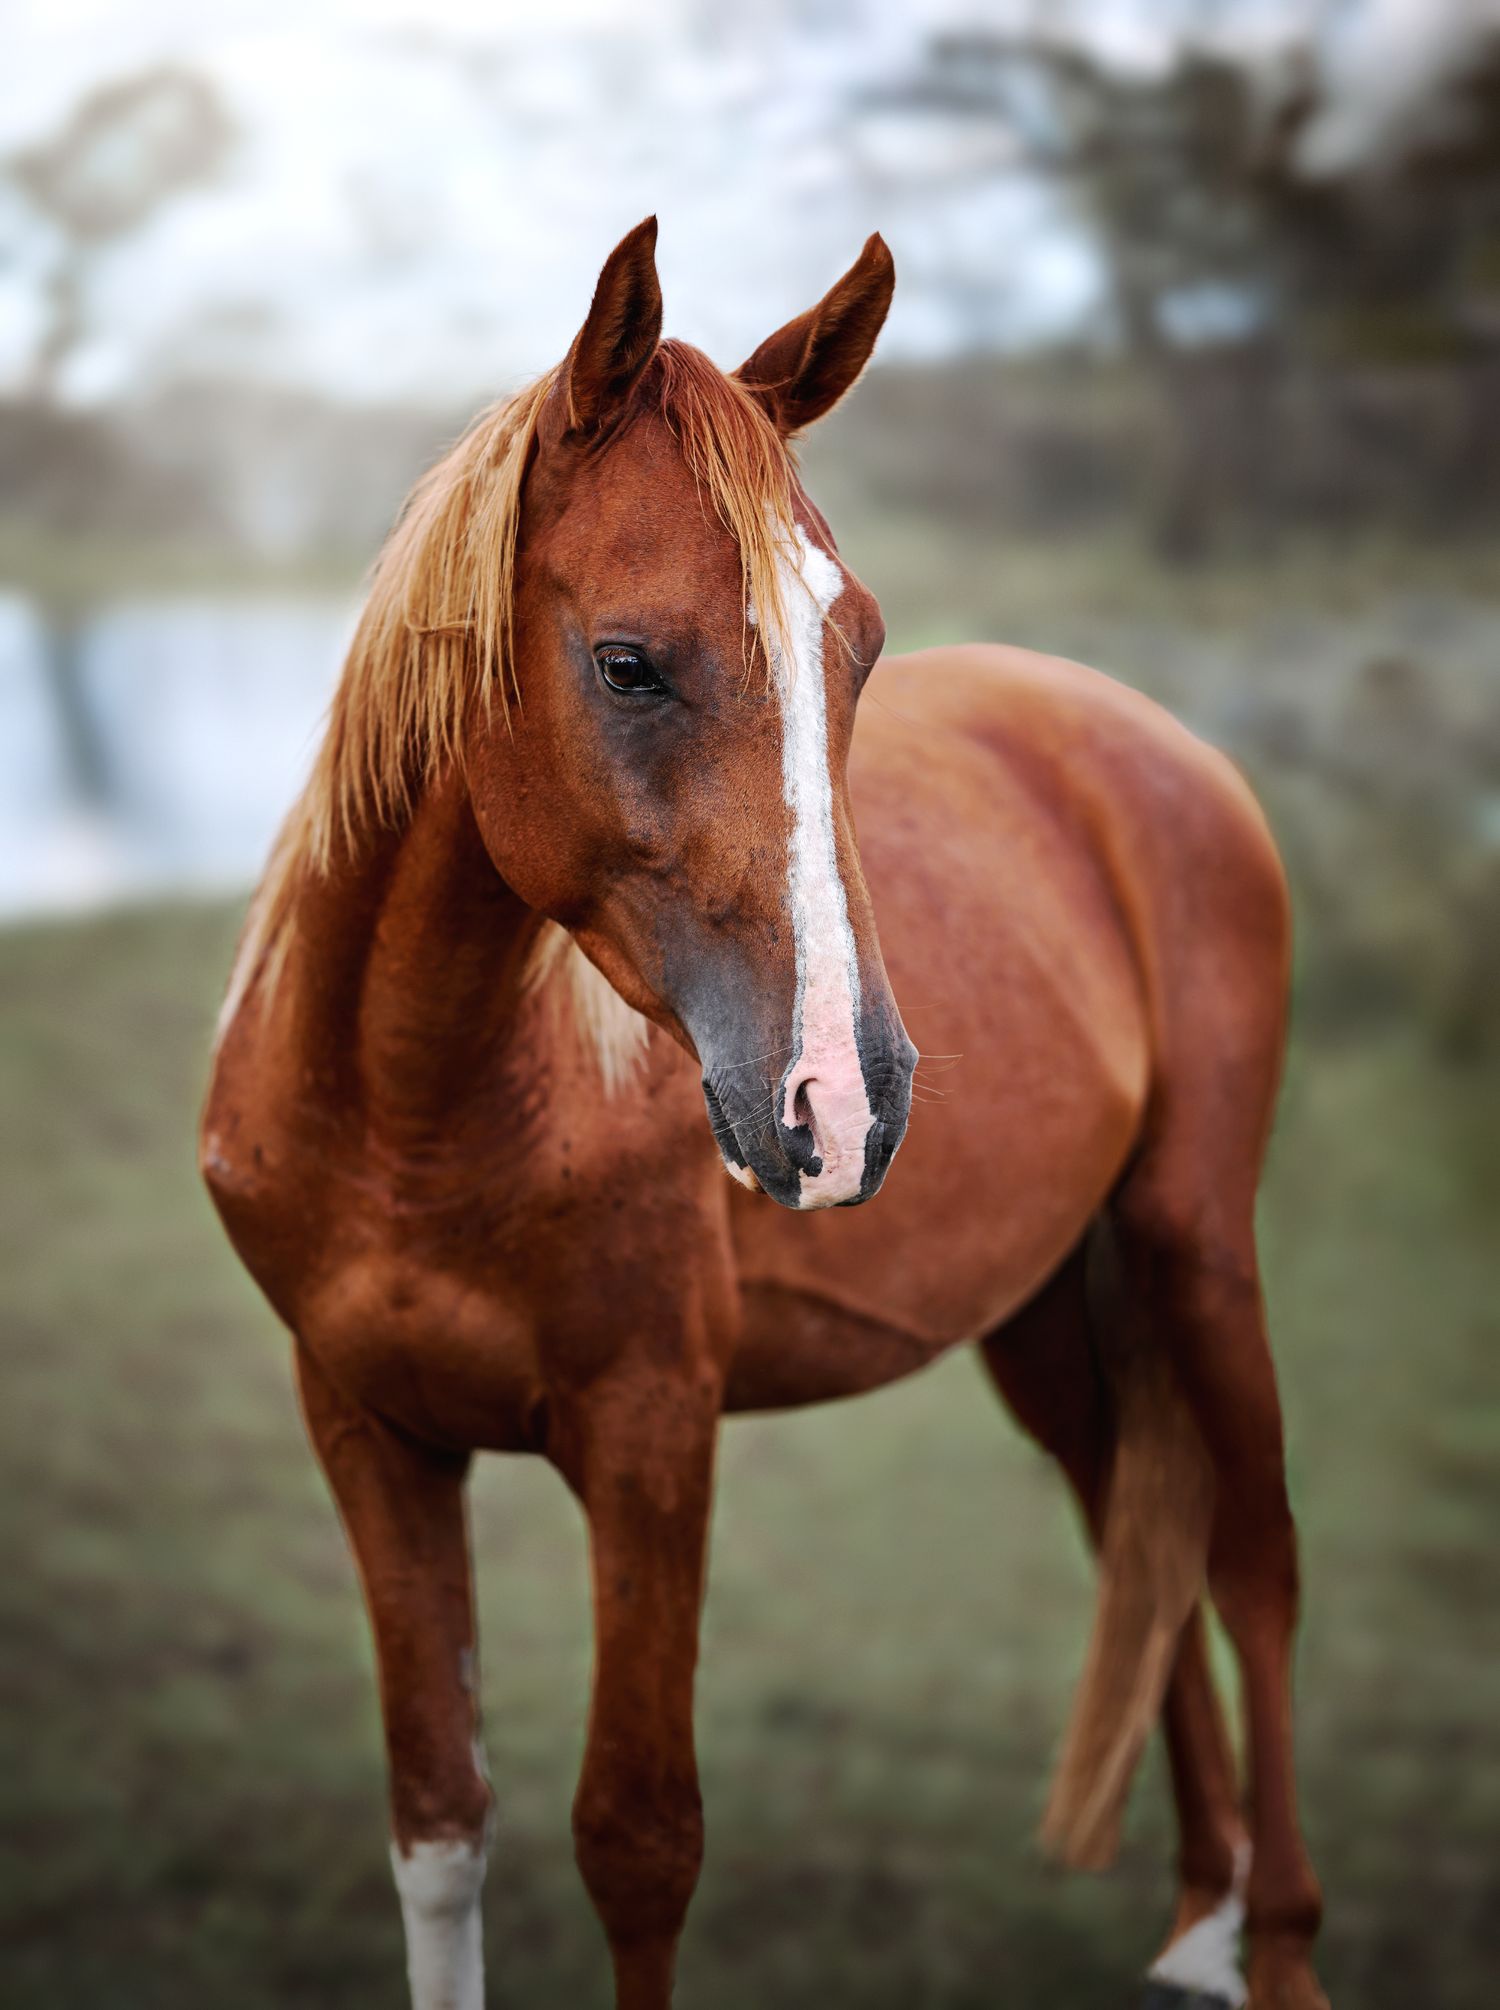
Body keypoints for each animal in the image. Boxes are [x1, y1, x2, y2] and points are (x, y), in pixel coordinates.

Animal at [201, 218, 1327, 2010]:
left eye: (856, 646)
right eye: (628, 663)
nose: (845, 1096)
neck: (411, 1112)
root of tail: (1152, 741)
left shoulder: (655, 1433)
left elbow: (639, 1839)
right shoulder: (368, 1427)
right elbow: (439, 1818)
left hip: (1195, 1243)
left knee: (1256, 1566)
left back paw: (1274, 1937)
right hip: (1046, 1313)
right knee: (1139, 1543)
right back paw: (1205, 1923)